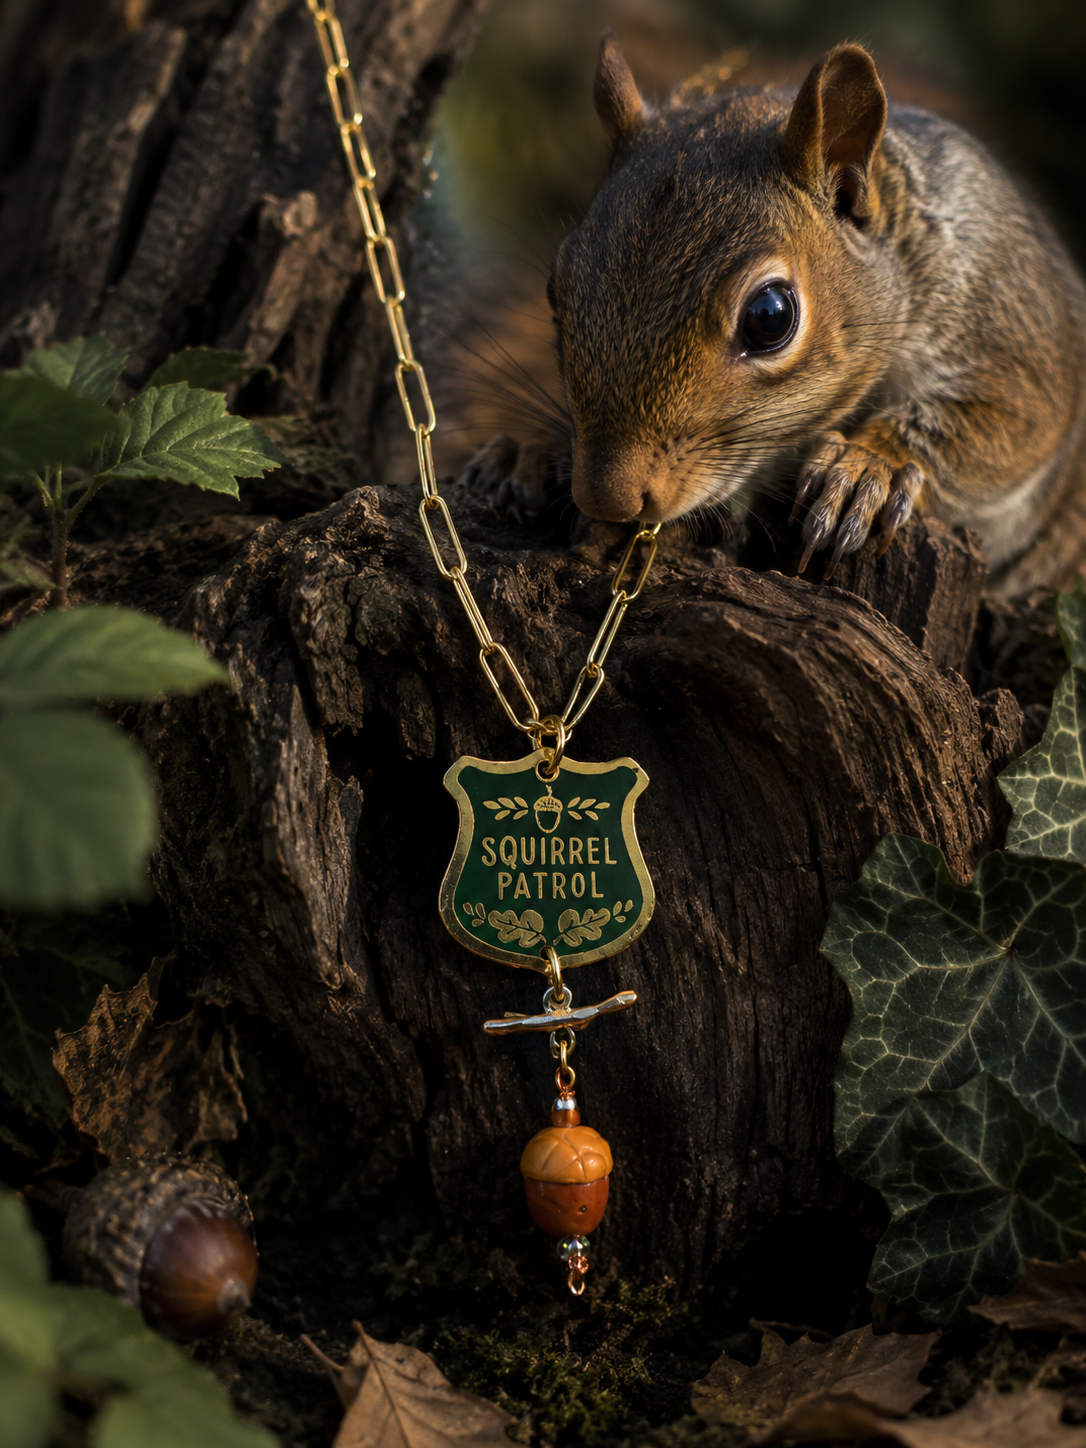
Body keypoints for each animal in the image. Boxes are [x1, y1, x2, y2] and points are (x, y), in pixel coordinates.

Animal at [463, 35, 1086, 596]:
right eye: (556, 290)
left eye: (770, 317)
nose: (607, 498)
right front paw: (529, 456)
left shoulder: (1006, 320)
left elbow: (1007, 420)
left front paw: (868, 468)